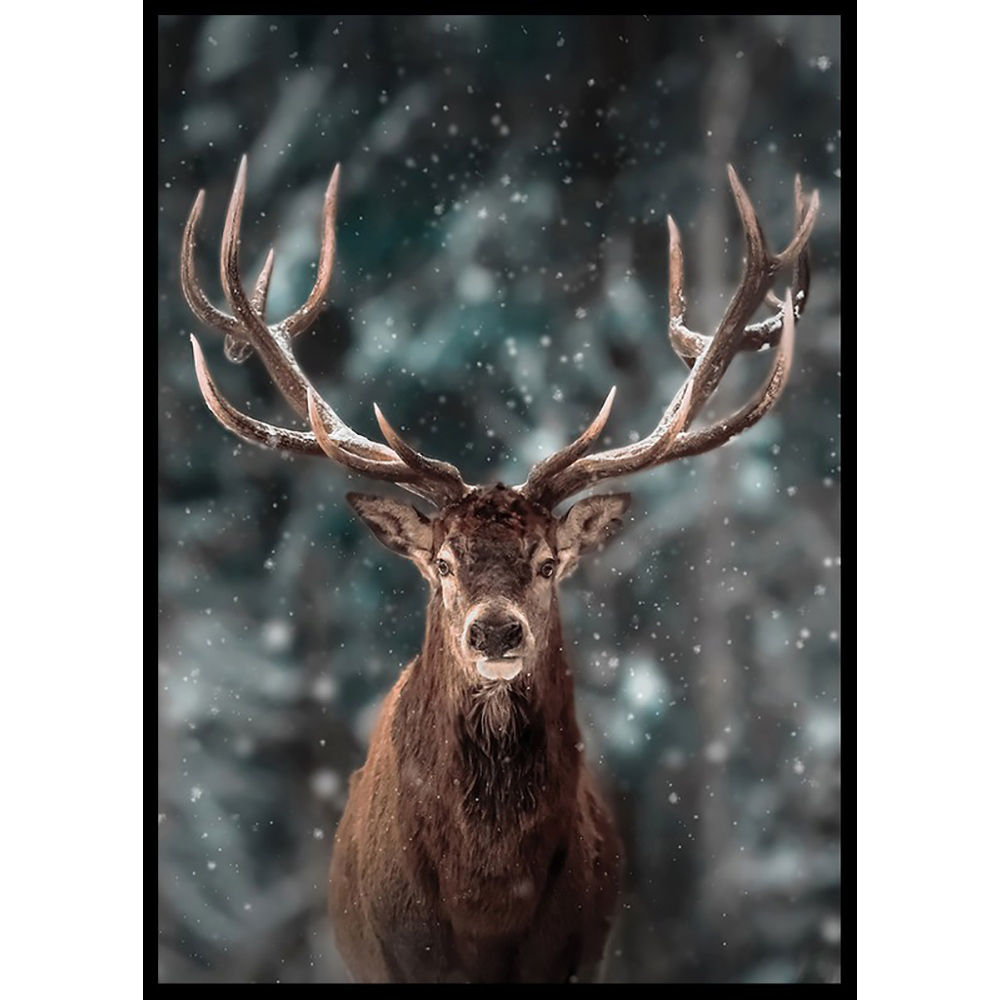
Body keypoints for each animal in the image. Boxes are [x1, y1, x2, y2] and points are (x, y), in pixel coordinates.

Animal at [180, 155, 818, 983]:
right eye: (443, 563)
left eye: (548, 564)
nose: (494, 633)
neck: (487, 905)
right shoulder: (398, 958)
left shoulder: (578, 953)